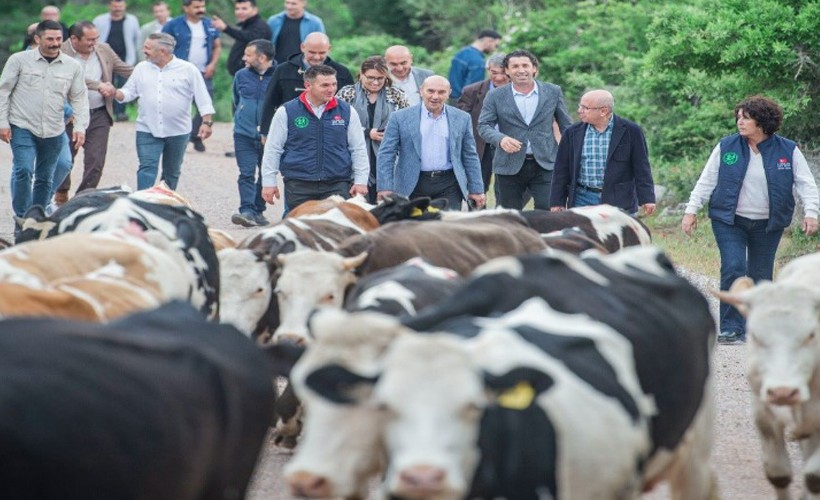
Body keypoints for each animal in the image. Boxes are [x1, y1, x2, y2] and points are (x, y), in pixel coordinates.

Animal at [716, 252, 820, 498]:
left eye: (811, 334)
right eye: (754, 335)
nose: (783, 391)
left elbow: (814, 477)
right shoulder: (762, 409)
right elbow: (778, 473)